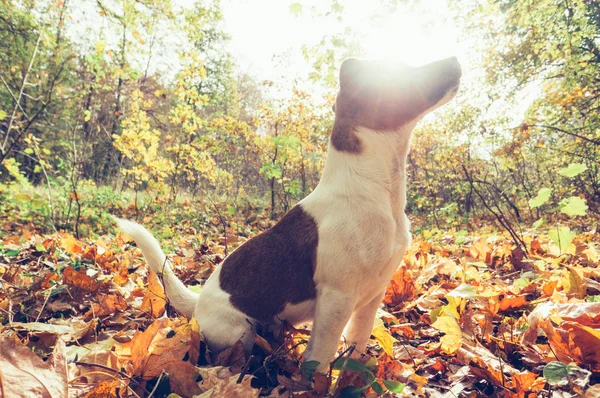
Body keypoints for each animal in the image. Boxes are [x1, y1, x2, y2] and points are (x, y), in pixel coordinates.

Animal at [118, 56, 464, 374]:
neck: (373, 188)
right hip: (240, 331)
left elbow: (357, 345)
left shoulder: (372, 297)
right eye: (403, 70)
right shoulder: (337, 300)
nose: (454, 59)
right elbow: (319, 358)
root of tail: (197, 304)